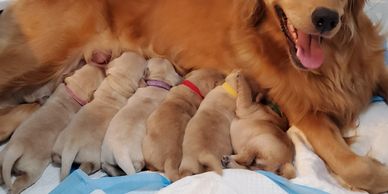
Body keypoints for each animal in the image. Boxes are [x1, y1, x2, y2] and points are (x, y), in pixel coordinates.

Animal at [0, 63, 105, 192]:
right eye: (101, 77)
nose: (101, 65)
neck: (72, 91)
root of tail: (16, 148)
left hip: (3, 157)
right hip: (32, 170)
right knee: (20, 182)